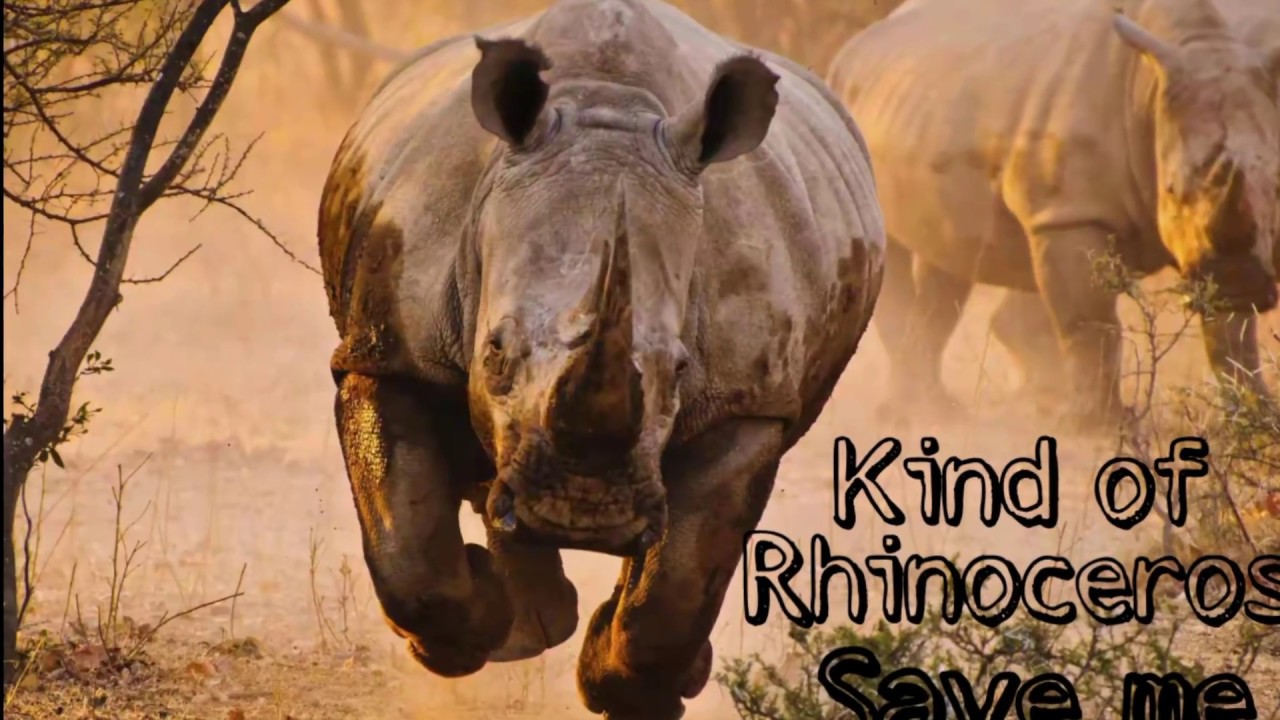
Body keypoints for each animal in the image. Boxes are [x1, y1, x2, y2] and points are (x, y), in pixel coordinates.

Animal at [316, 1, 885, 717]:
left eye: (679, 370)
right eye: (494, 352)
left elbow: (680, 581)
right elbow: (409, 548)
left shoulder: (748, 401)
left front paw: (630, 687)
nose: (582, 511)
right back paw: (527, 623)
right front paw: (461, 639)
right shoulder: (386, 347)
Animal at [826, 0, 1280, 426]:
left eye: (1276, 188)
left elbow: (1232, 336)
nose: (1243, 282)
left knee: (949, 262)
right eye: (1171, 190)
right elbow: (1090, 323)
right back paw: (914, 415)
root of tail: (852, 47)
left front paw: (1256, 417)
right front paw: (1099, 426)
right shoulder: (1067, 213)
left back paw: (944, 409)